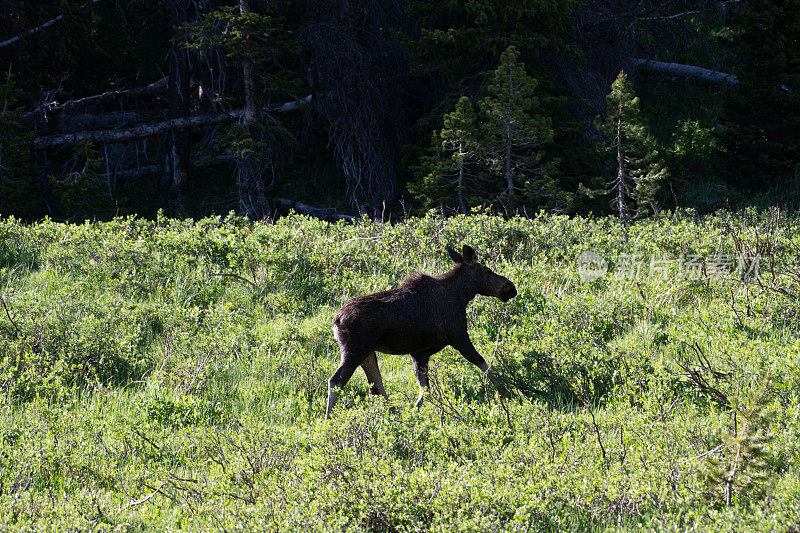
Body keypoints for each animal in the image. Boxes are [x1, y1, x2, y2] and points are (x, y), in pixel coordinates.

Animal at [326, 243, 520, 418]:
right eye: (488, 270)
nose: (511, 287)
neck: (462, 295)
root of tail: (336, 320)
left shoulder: (419, 353)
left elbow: (424, 390)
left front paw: (414, 415)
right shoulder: (458, 335)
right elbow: (483, 363)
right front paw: (508, 393)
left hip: (367, 352)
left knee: (376, 384)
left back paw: (394, 415)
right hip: (355, 350)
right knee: (336, 380)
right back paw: (329, 420)